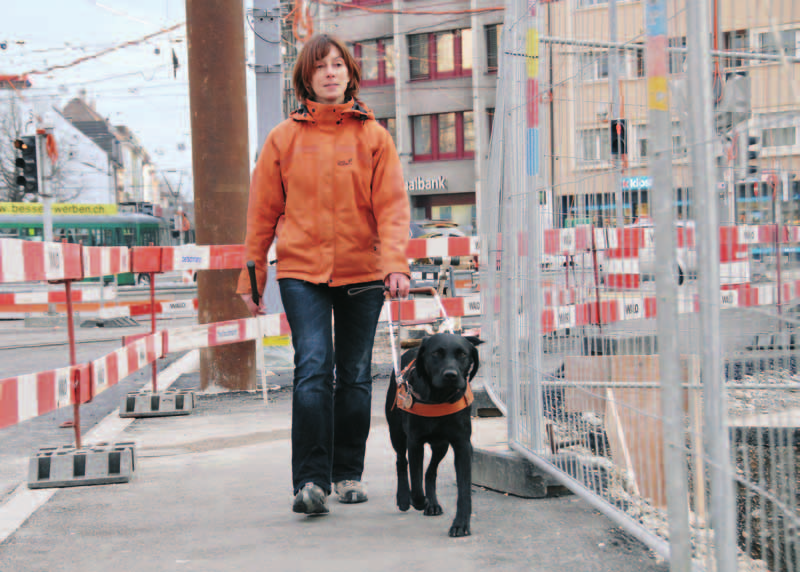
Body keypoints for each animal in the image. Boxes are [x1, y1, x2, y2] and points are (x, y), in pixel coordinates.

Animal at [382, 332, 482, 540]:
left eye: (462, 354)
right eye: (436, 353)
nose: (451, 375)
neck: (439, 397)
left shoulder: (462, 445)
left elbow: (463, 490)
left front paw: (461, 524)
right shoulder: (415, 442)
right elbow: (416, 482)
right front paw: (418, 501)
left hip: (441, 445)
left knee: (430, 472)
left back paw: (433, 503)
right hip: (396, 433)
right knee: (401, 461)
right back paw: (404, 498)